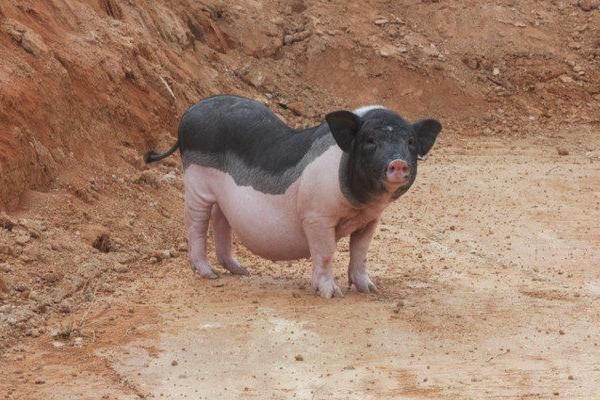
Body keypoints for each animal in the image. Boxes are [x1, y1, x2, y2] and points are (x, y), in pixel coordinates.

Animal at [145, 95, 440, 298]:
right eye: (369, 140)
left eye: (411, 142)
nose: (398, 162)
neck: (359, 206)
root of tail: (189, 112)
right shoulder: (316, 216)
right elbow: (326, 253)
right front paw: (331, 294)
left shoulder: (370, 220)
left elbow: (360, 252)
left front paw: (370, 289)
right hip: (196, 182)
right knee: (196, 224)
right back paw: (210, 274)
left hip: (223, 197)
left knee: (221, 220)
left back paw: (241, 270)